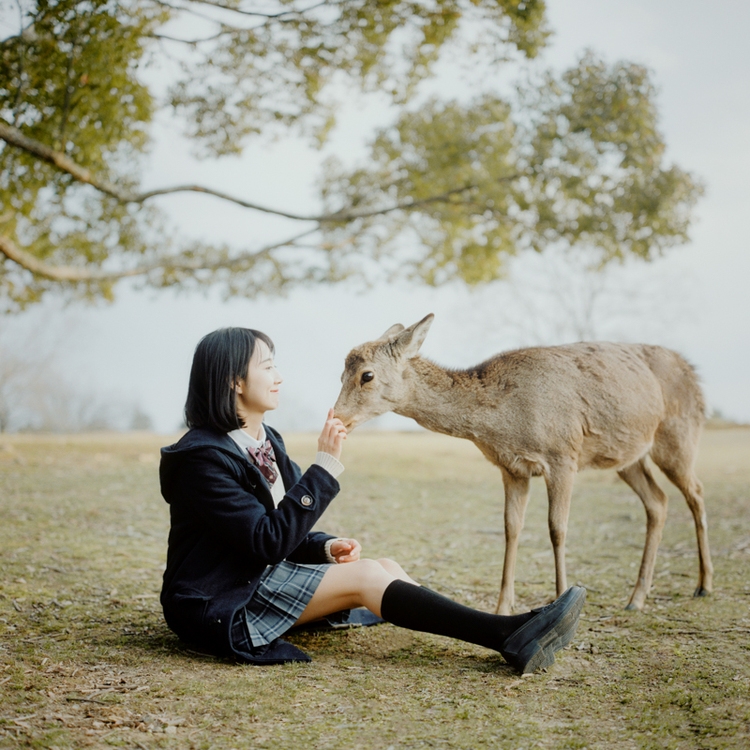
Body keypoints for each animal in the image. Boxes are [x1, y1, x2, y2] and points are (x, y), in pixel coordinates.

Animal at [336, 314, 716, 612]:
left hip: (678, 436)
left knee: (696, 492)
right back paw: (637, 598)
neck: (506, 424)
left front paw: (561, 597)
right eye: (341, 374)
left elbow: (556, 528)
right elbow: (511, 528)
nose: (337, 417)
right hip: (627, 457)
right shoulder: (511, 469)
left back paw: (704, 585)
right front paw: (503, 606)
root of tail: (694, 374)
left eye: (367, 375)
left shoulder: (563, 455)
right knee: (658, 501)